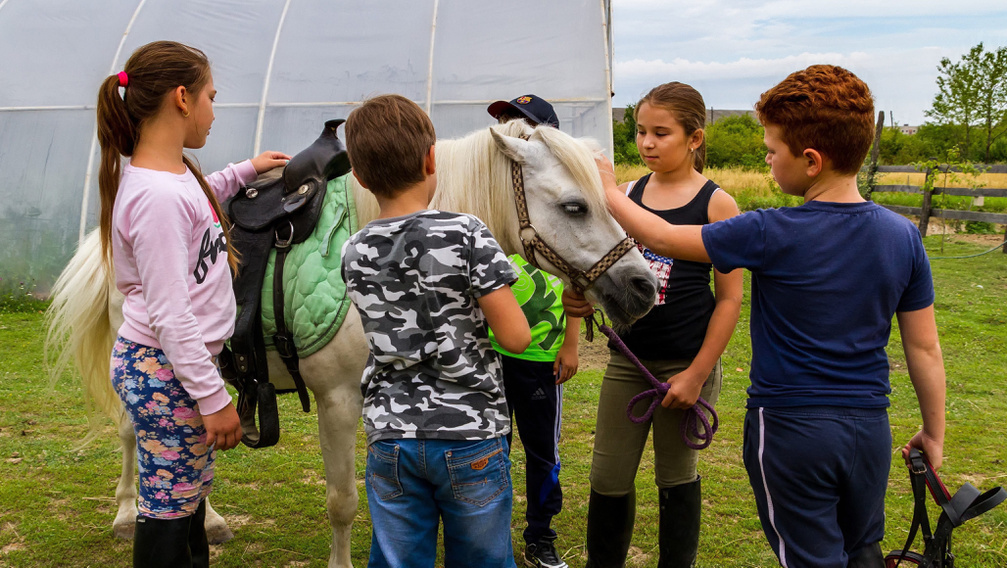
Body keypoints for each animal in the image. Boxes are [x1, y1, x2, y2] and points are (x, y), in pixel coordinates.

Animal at [45, 117, 660, 563]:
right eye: (574, 206)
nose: (643, 286)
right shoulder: (337, 401)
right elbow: (342, 502)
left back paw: (211, 520)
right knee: (134, 434)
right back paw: (128, 514)